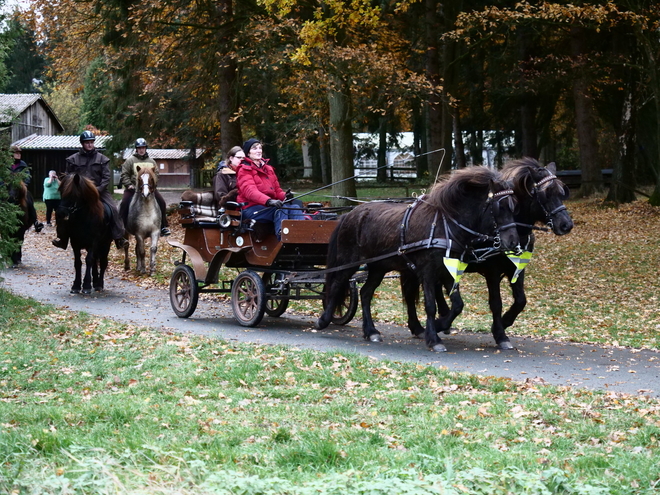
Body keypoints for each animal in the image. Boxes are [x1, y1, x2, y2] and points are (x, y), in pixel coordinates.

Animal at [318, 167, 520, 352]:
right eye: (499, 207)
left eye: (514, 207)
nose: (513, 241)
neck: (445, 226)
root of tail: (348, 214)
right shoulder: (428, 271)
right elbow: (430, 305)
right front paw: (434, 338)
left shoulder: (448, 271)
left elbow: (457, 305)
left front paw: (439, 325)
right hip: (348, 260)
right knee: (336, 285)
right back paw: (324, 320)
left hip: (378, 267)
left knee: (365, 293)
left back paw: (371, 331)